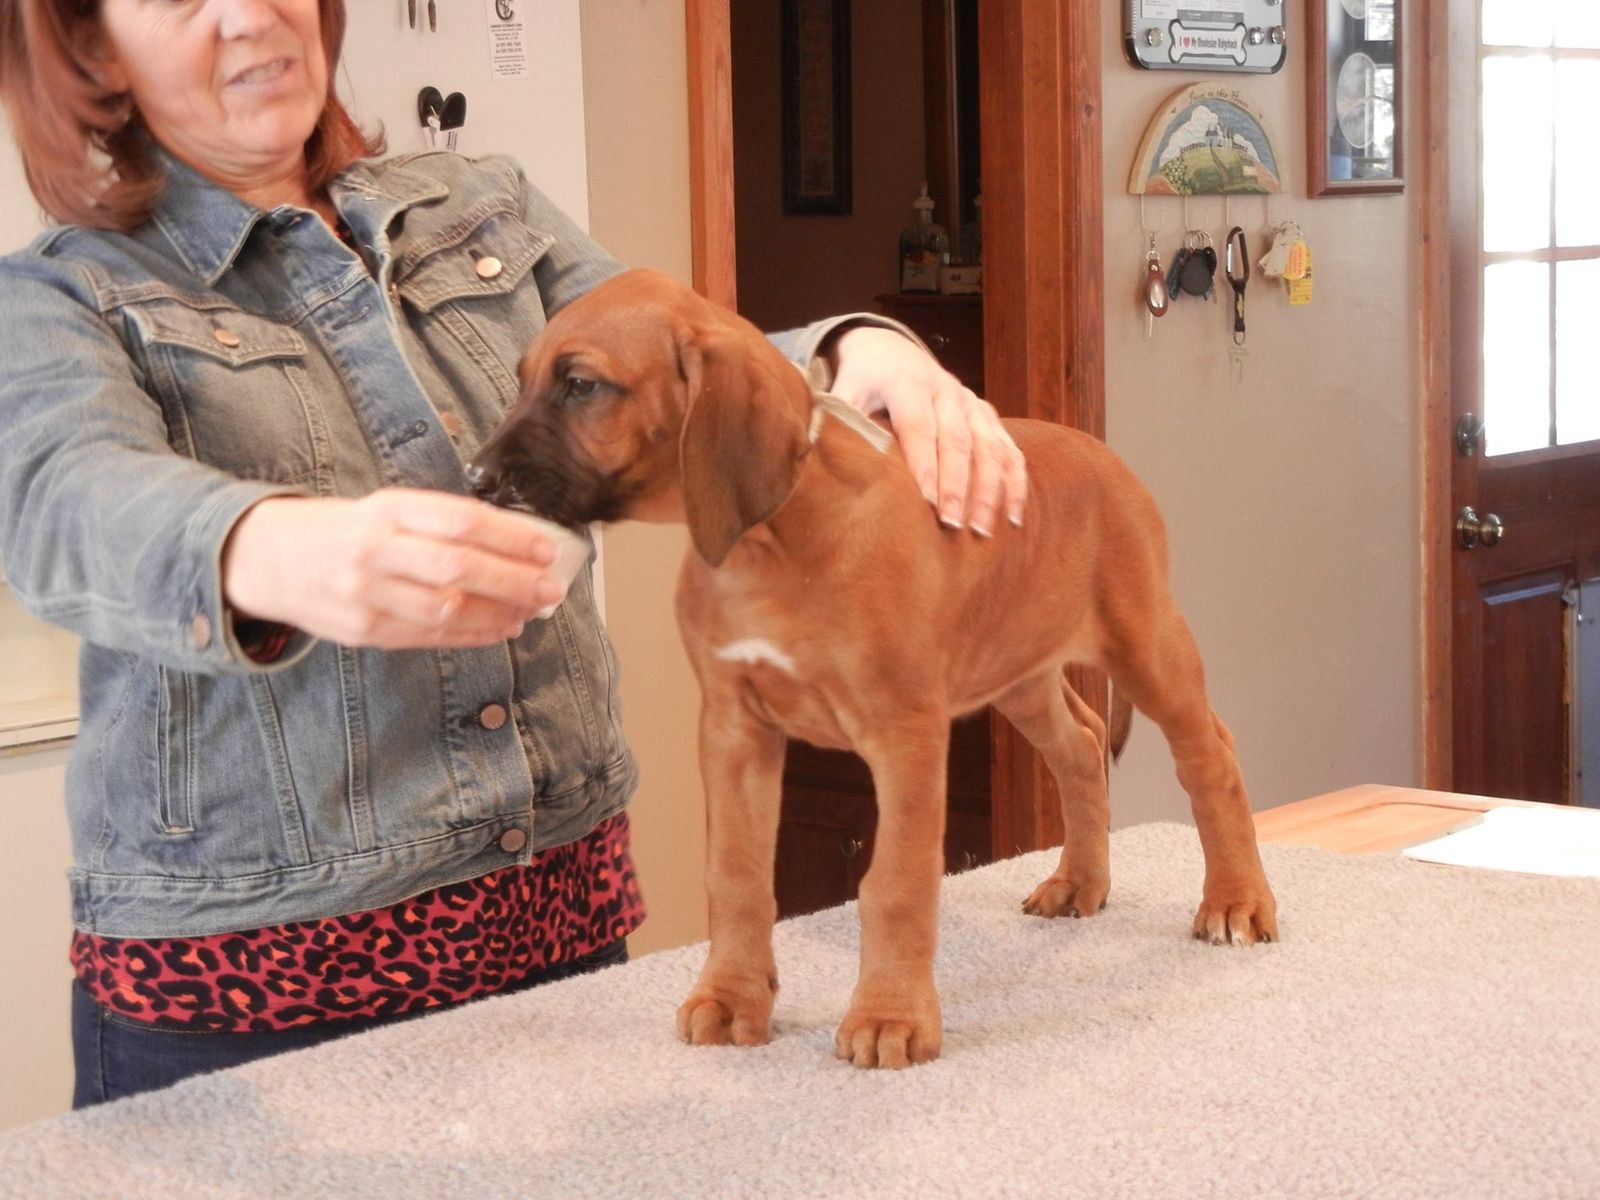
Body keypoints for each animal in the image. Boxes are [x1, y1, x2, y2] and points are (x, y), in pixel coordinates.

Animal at [467, 268, 1278, 1069]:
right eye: (524, 379)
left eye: (580, 384)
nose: (475, 477)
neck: (774, 539)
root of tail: (1104, 454)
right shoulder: (733, 728)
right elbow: (734, 874)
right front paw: (731, 998)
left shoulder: (905, 734)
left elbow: (895, 882)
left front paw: (891, 1018)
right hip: (1017, 664)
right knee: (1080, 746)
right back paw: (1080, 882)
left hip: (1146, 642)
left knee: (1211, 753)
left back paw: (1237, 901)